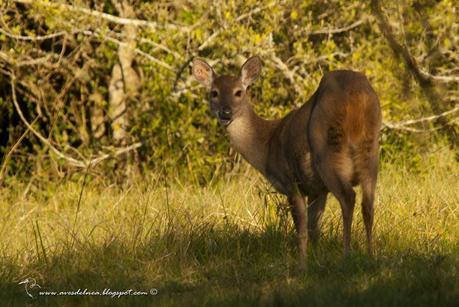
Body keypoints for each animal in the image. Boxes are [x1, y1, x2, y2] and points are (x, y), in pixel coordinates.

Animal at [192, 55, 382, 260]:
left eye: (238, 92)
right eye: (214, 93)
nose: (226, 112)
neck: (267, 145)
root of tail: (356, 94)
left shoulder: (291, 182)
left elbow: (301, 229)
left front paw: (302, 262)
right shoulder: (317, 189)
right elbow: (314, 228)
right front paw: (316, 257)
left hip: (326, 149)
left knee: (348, 198)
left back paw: (347, 254)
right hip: (371, 149)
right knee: (368, 205)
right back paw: (370, 254)